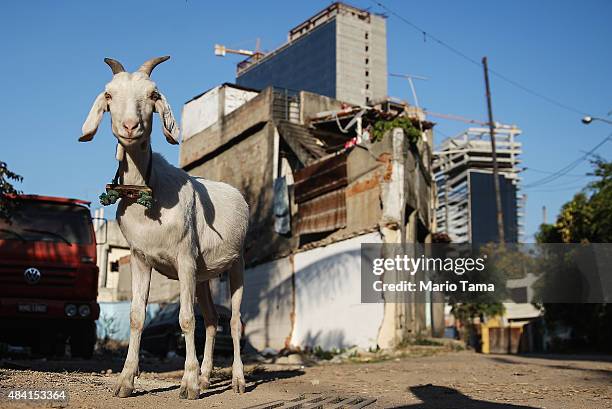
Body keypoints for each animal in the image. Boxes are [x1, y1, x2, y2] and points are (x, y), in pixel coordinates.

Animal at [80, 56, 250, 398]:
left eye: (153, 95)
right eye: (109, 95)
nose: (130, 126)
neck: (149, 188)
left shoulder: (184, 258)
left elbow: (185, 320)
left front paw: (188, 384)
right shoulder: (141, 258)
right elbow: (136, 316)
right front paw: (126, 381)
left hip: (236, 262)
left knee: (235, 320)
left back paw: (237, 379)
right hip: (203, 275)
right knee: (212, 319)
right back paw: (207, 376)